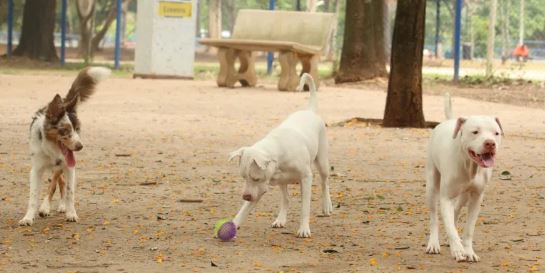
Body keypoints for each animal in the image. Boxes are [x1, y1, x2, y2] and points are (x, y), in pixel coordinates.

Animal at [18, 66, 109, 225]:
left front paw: (71, 213)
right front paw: (28, 217)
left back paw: (57, 206)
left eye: (77, 129)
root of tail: (64, 102)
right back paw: (47, 207)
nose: (80, 147)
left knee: (57, 182)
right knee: (57, 182)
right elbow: (33, 195)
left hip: (61, 166)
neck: (52, 149)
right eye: (65, 130)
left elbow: (69, 191)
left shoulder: (69, 167)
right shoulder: (36, 169)